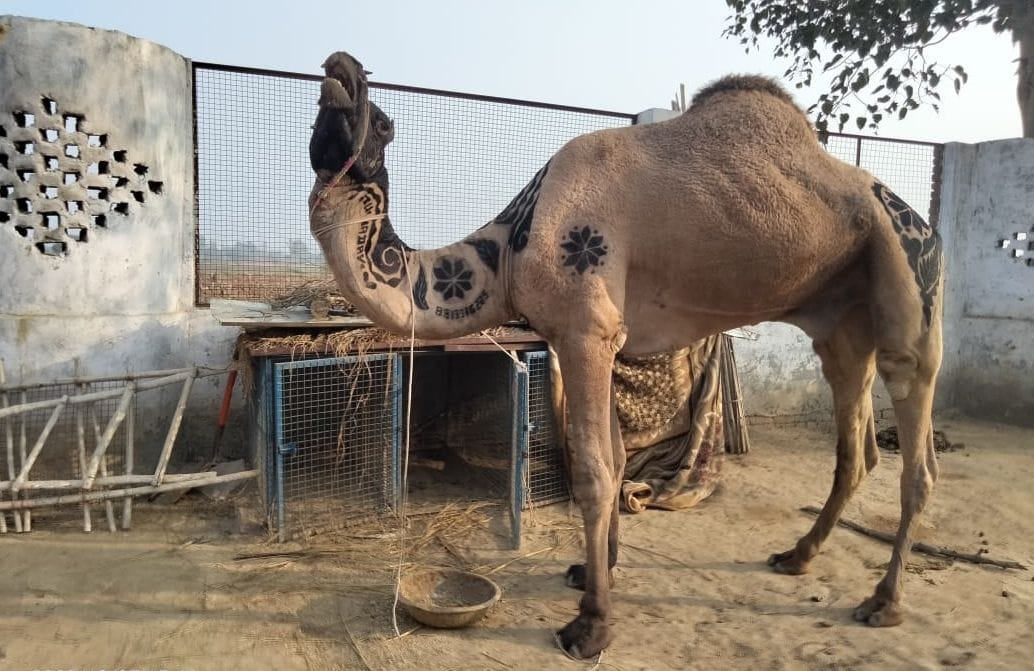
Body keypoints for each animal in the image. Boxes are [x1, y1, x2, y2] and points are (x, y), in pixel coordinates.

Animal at [307, 51, 944, 659]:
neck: (508, 249)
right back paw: (797, 555)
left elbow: (593, 469)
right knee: (856, 439)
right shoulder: (603, 340)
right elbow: (614, 459)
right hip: (840, 321)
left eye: (383, 123)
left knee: (917, 443)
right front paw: (596, 570)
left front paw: (591, 623)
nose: (339, 67)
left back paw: (884, 601)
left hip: (907, 273)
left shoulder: (585, 329)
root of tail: (923, 224)